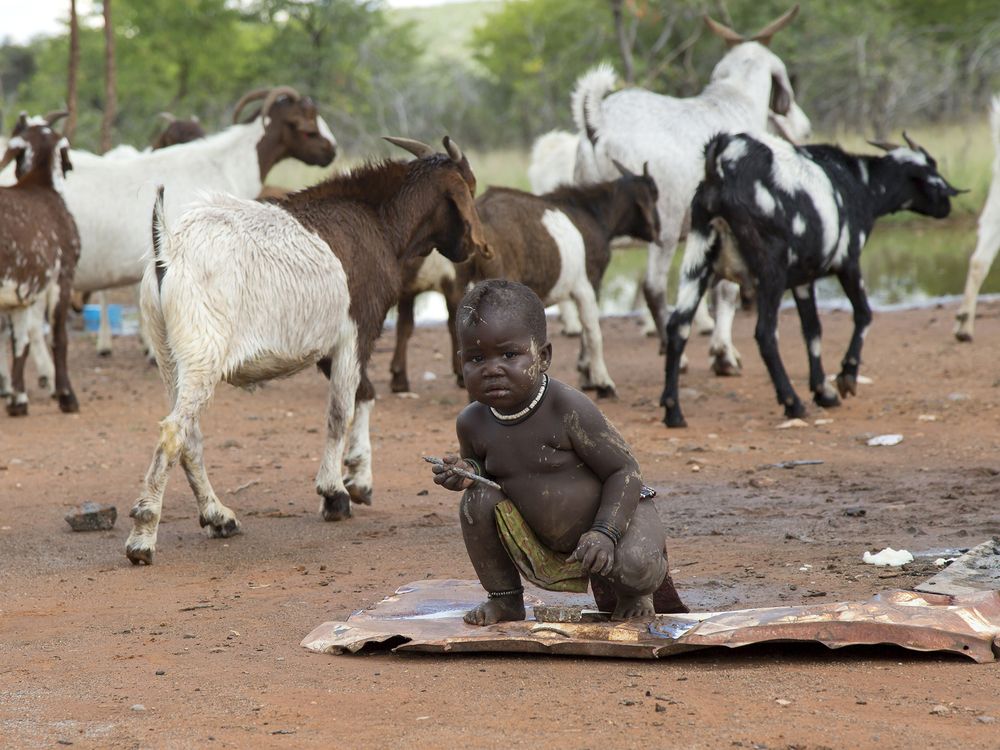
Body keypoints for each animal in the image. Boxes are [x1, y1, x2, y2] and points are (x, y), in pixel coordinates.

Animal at [0, 112, 80, 418]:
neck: (41, 185)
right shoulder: (63, 278)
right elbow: (59, 338)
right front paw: (67, 396)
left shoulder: (19, 296)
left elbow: (20, 343)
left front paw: (18, 399)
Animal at [125, 138, 484, 568]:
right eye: (470, 188)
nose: (477, 247)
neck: (378, 220)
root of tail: (169, 247)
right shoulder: (356, 330)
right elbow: (340, 412)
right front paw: (335, 494)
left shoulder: (331, 346)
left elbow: (364, 394)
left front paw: (359, 478)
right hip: (201, 353)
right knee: (173, 433)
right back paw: (143, 536)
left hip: (168, 355)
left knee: (190, 436)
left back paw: (218, 516)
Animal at [576, 7, 808, 376]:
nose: (804, 128)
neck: (733, 102)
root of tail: (600, 123)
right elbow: (725, 290)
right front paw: (724, 355)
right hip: (665, 225)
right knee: (653, 286)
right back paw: (674, 354)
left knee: (587, 290)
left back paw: (586, 365)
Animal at [664, 131, 960, 426]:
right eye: (931, 169)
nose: (947, 206)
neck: (860, 184)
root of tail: (721, 161)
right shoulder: (848, 261)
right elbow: (864, 314)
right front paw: (846, 377)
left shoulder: (804, 279)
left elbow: (813, 329)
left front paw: (823, 391)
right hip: (771, 269)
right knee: (766, 334)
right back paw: (792, 403)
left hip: (698, 259)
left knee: (678, 326)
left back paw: (673, 412)